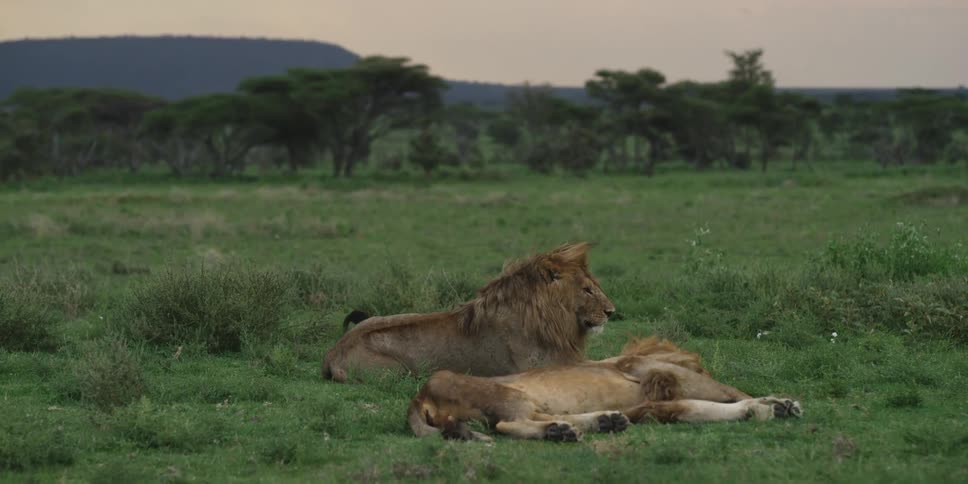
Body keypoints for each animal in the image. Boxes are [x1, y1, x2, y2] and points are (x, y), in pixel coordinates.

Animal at [322, 242, 615, 382]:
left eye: (594, 286)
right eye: (587, 290)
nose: (611, 311)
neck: (554, 321)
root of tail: (332, 353)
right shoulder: (543, 367)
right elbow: (603, 365)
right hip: (395, 372)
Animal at [408, 336, 802, 442]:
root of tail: (419, 395)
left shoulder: (658, 402)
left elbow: (698, 409)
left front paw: (774, 406)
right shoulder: (661, 374)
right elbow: (729, 392)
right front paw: (773, 405)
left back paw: (599, 422)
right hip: (509, 396)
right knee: (507, 424)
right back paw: (562, 431)